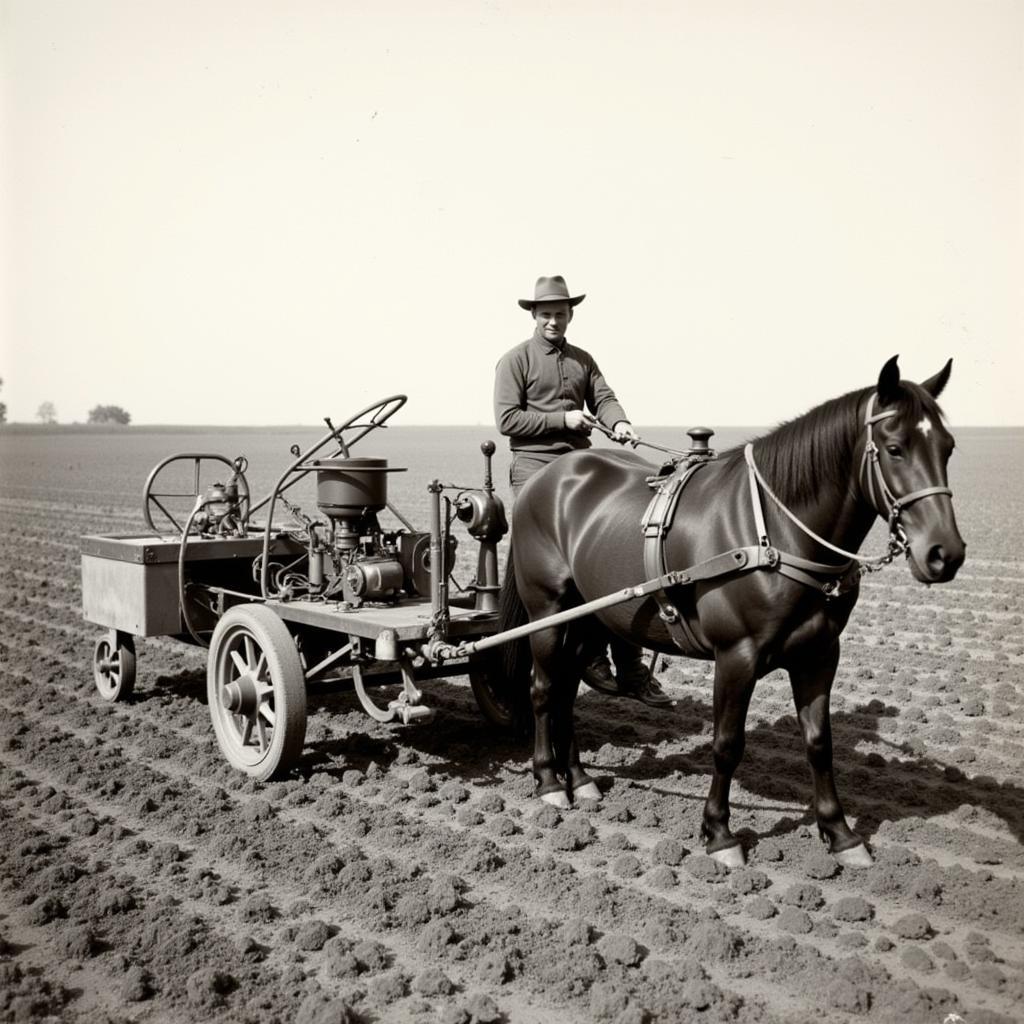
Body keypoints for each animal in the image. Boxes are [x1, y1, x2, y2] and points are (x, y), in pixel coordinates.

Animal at [499, 356, 962, 868]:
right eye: (895, 448)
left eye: (948, 447)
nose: (945, 553)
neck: (774, 533)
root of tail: (547, 478)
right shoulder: (737, 656)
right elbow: (727, 744)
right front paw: (719, 834)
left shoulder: (820, 654)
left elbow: (819, 743)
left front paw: (839, 833)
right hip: (549, 609)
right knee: (544, 689)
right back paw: (548, 781)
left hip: (589, 618)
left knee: (565, 691)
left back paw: (579, 779)